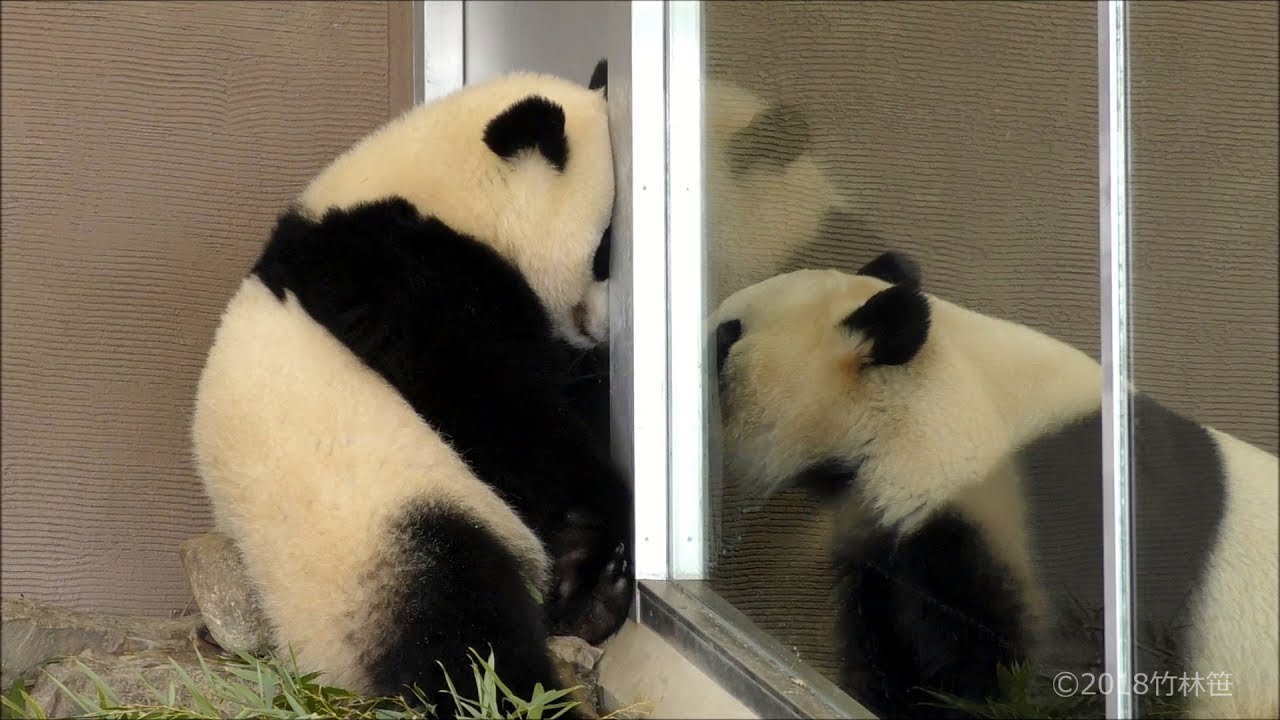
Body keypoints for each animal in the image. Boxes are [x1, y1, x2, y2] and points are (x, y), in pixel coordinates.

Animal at [191, 62, 632, 718]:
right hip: (374, 535)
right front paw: (592, 511)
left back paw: (590, 603)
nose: (605, 330)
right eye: (607, 251)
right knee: (458, 626)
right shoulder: (401, 273)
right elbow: (495, 402)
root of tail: (317, 666)